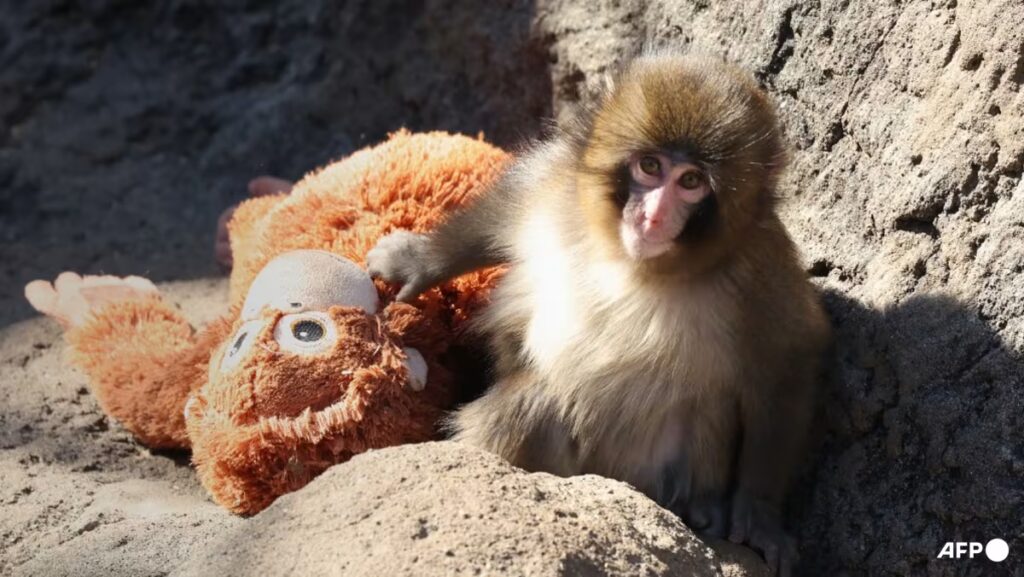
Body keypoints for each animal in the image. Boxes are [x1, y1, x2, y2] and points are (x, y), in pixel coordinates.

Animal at [366, 52, 830, 576]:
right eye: (650, 166)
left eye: (690, 182)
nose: (652, 216)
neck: (632, 262)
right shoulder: (558, 187)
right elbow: (504, 208)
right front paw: (418, 261)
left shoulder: (759, 270)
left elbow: (787, 361)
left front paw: (760, 514)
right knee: (535, 404)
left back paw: (702, 510)